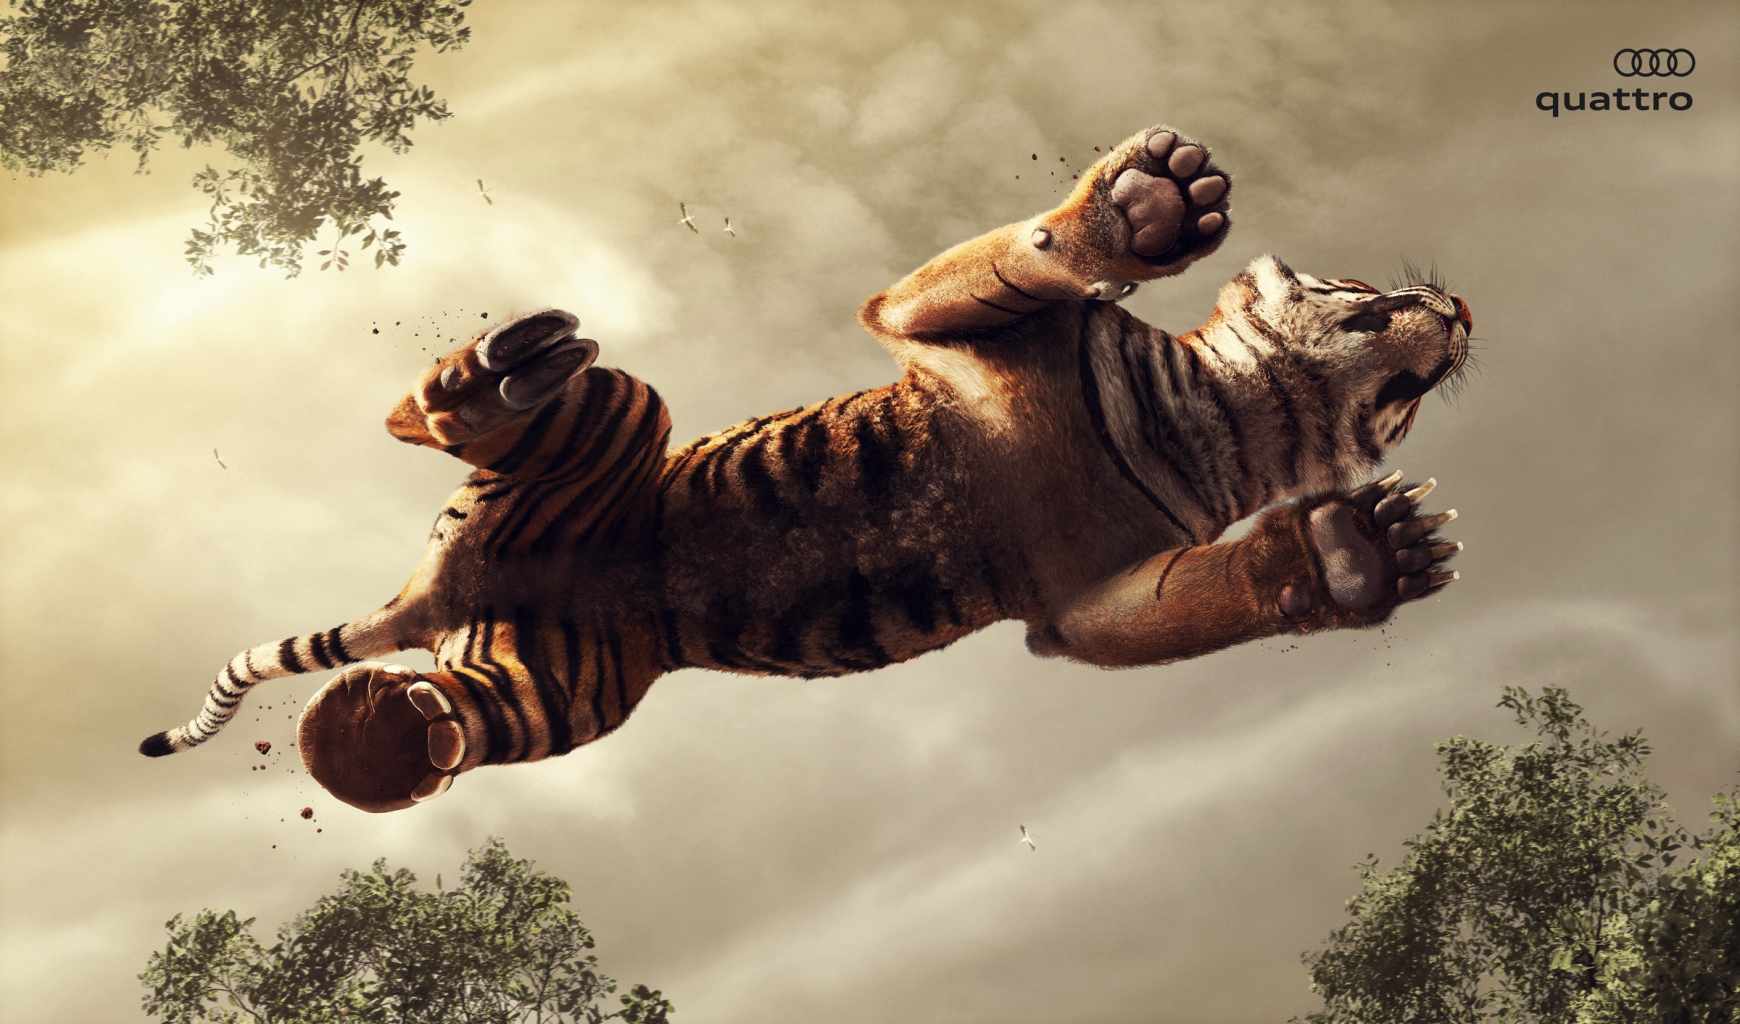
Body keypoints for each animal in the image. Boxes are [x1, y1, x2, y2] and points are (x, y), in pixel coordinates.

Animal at [141, 123, 1469, 813]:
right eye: (1371, 287)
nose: (1460, 309)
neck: (1224, 423)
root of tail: (442, 589)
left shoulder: (1088, 601)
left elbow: (1207, 599)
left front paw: (1358, 554)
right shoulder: (943, 335)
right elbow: (1017, 259)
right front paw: (1150, 207)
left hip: (563, 688)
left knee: (457, 713)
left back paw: (378, 740)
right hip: (622, 414)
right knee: (418, 416)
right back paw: (502, 366)